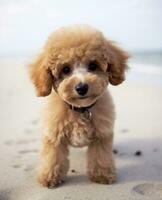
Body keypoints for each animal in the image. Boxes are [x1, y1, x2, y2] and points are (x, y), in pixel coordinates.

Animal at [28, 25, 128, 188]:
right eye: (65, 69)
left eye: (93, 66)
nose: (82, 87)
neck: (81, 109)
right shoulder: (54, 135)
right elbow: (53, 158)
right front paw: (49, 177)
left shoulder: (101, 135)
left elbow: (101, 156)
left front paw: (102, 175)